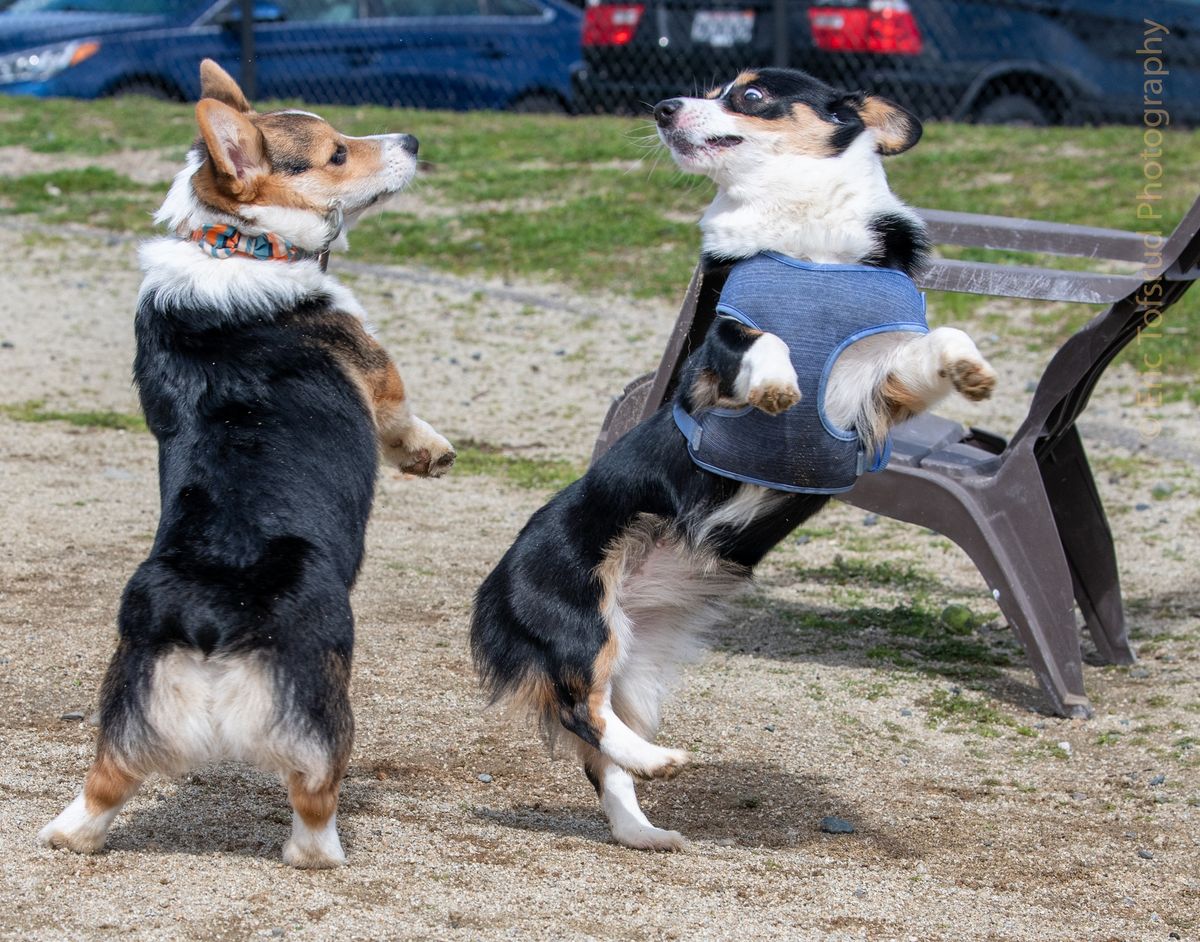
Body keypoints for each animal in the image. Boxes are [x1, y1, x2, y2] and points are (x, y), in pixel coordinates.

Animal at [39, 60, 453, 868]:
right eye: (336, 153)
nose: (414, 140)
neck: (233, 241)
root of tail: (208, 618)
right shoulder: (380, 377)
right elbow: (403, 419)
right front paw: (431, 455)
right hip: (325, 713)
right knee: (314, 801)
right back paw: (323, 852)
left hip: (126, 709)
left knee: (101, 785)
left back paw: (69, 834)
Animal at [472, 68, 998, 854]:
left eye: (748, 95)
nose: (662, 107)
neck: (806, 245)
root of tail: (494, 588)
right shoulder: (717, 351)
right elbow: (763, 340)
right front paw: (779, 384)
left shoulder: (883, 385)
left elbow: (939, 341)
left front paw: (974, 371)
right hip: (583, 621)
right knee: (580, 711)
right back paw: (658, 761)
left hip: (636, 664)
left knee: (601, 751)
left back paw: (643, 825)